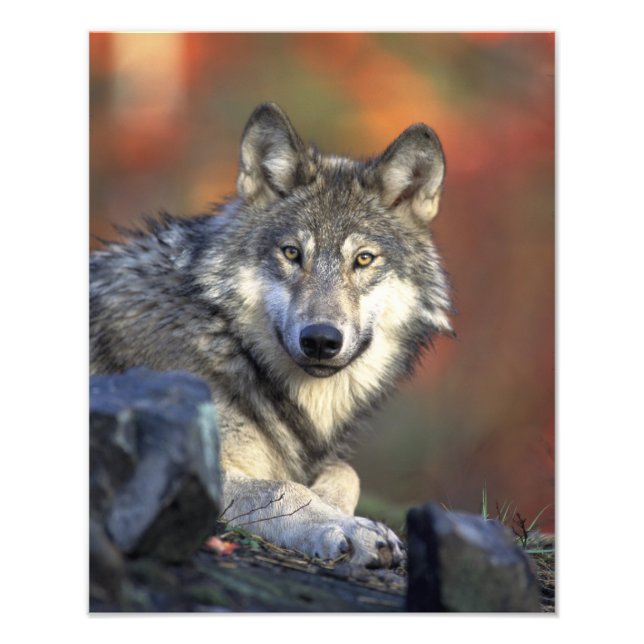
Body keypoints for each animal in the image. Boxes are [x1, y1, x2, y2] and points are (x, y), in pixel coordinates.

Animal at [90, 102, 453, 568]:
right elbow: (283, 488)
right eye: (292, 253)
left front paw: (340, 510)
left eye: (363, 259)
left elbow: (345, 472)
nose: (321, 340)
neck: (227, 340)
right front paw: (350, 529)